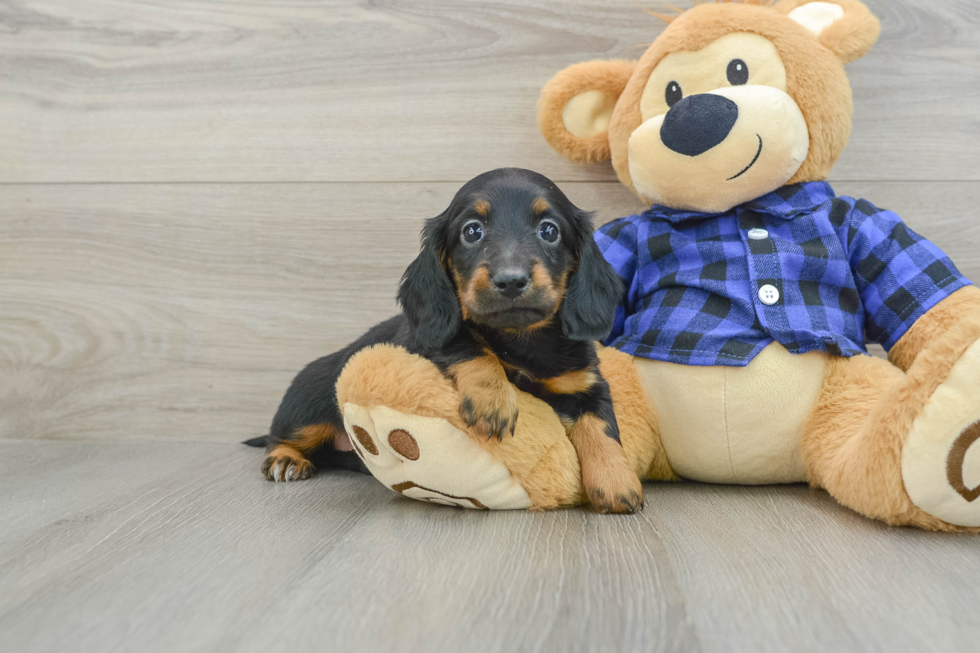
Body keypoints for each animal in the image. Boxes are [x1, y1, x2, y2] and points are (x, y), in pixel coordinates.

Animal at [251, 168, 644, 516]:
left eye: (549, 230)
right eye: (472, 231)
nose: (511, 281)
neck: (520, 339)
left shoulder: (586, 385)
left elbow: (603, 429)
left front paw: (616, 482)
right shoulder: (420, 342)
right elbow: (466, 343)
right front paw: (492, 399)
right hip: (308, 410)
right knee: (279, 436)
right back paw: (285, 460)